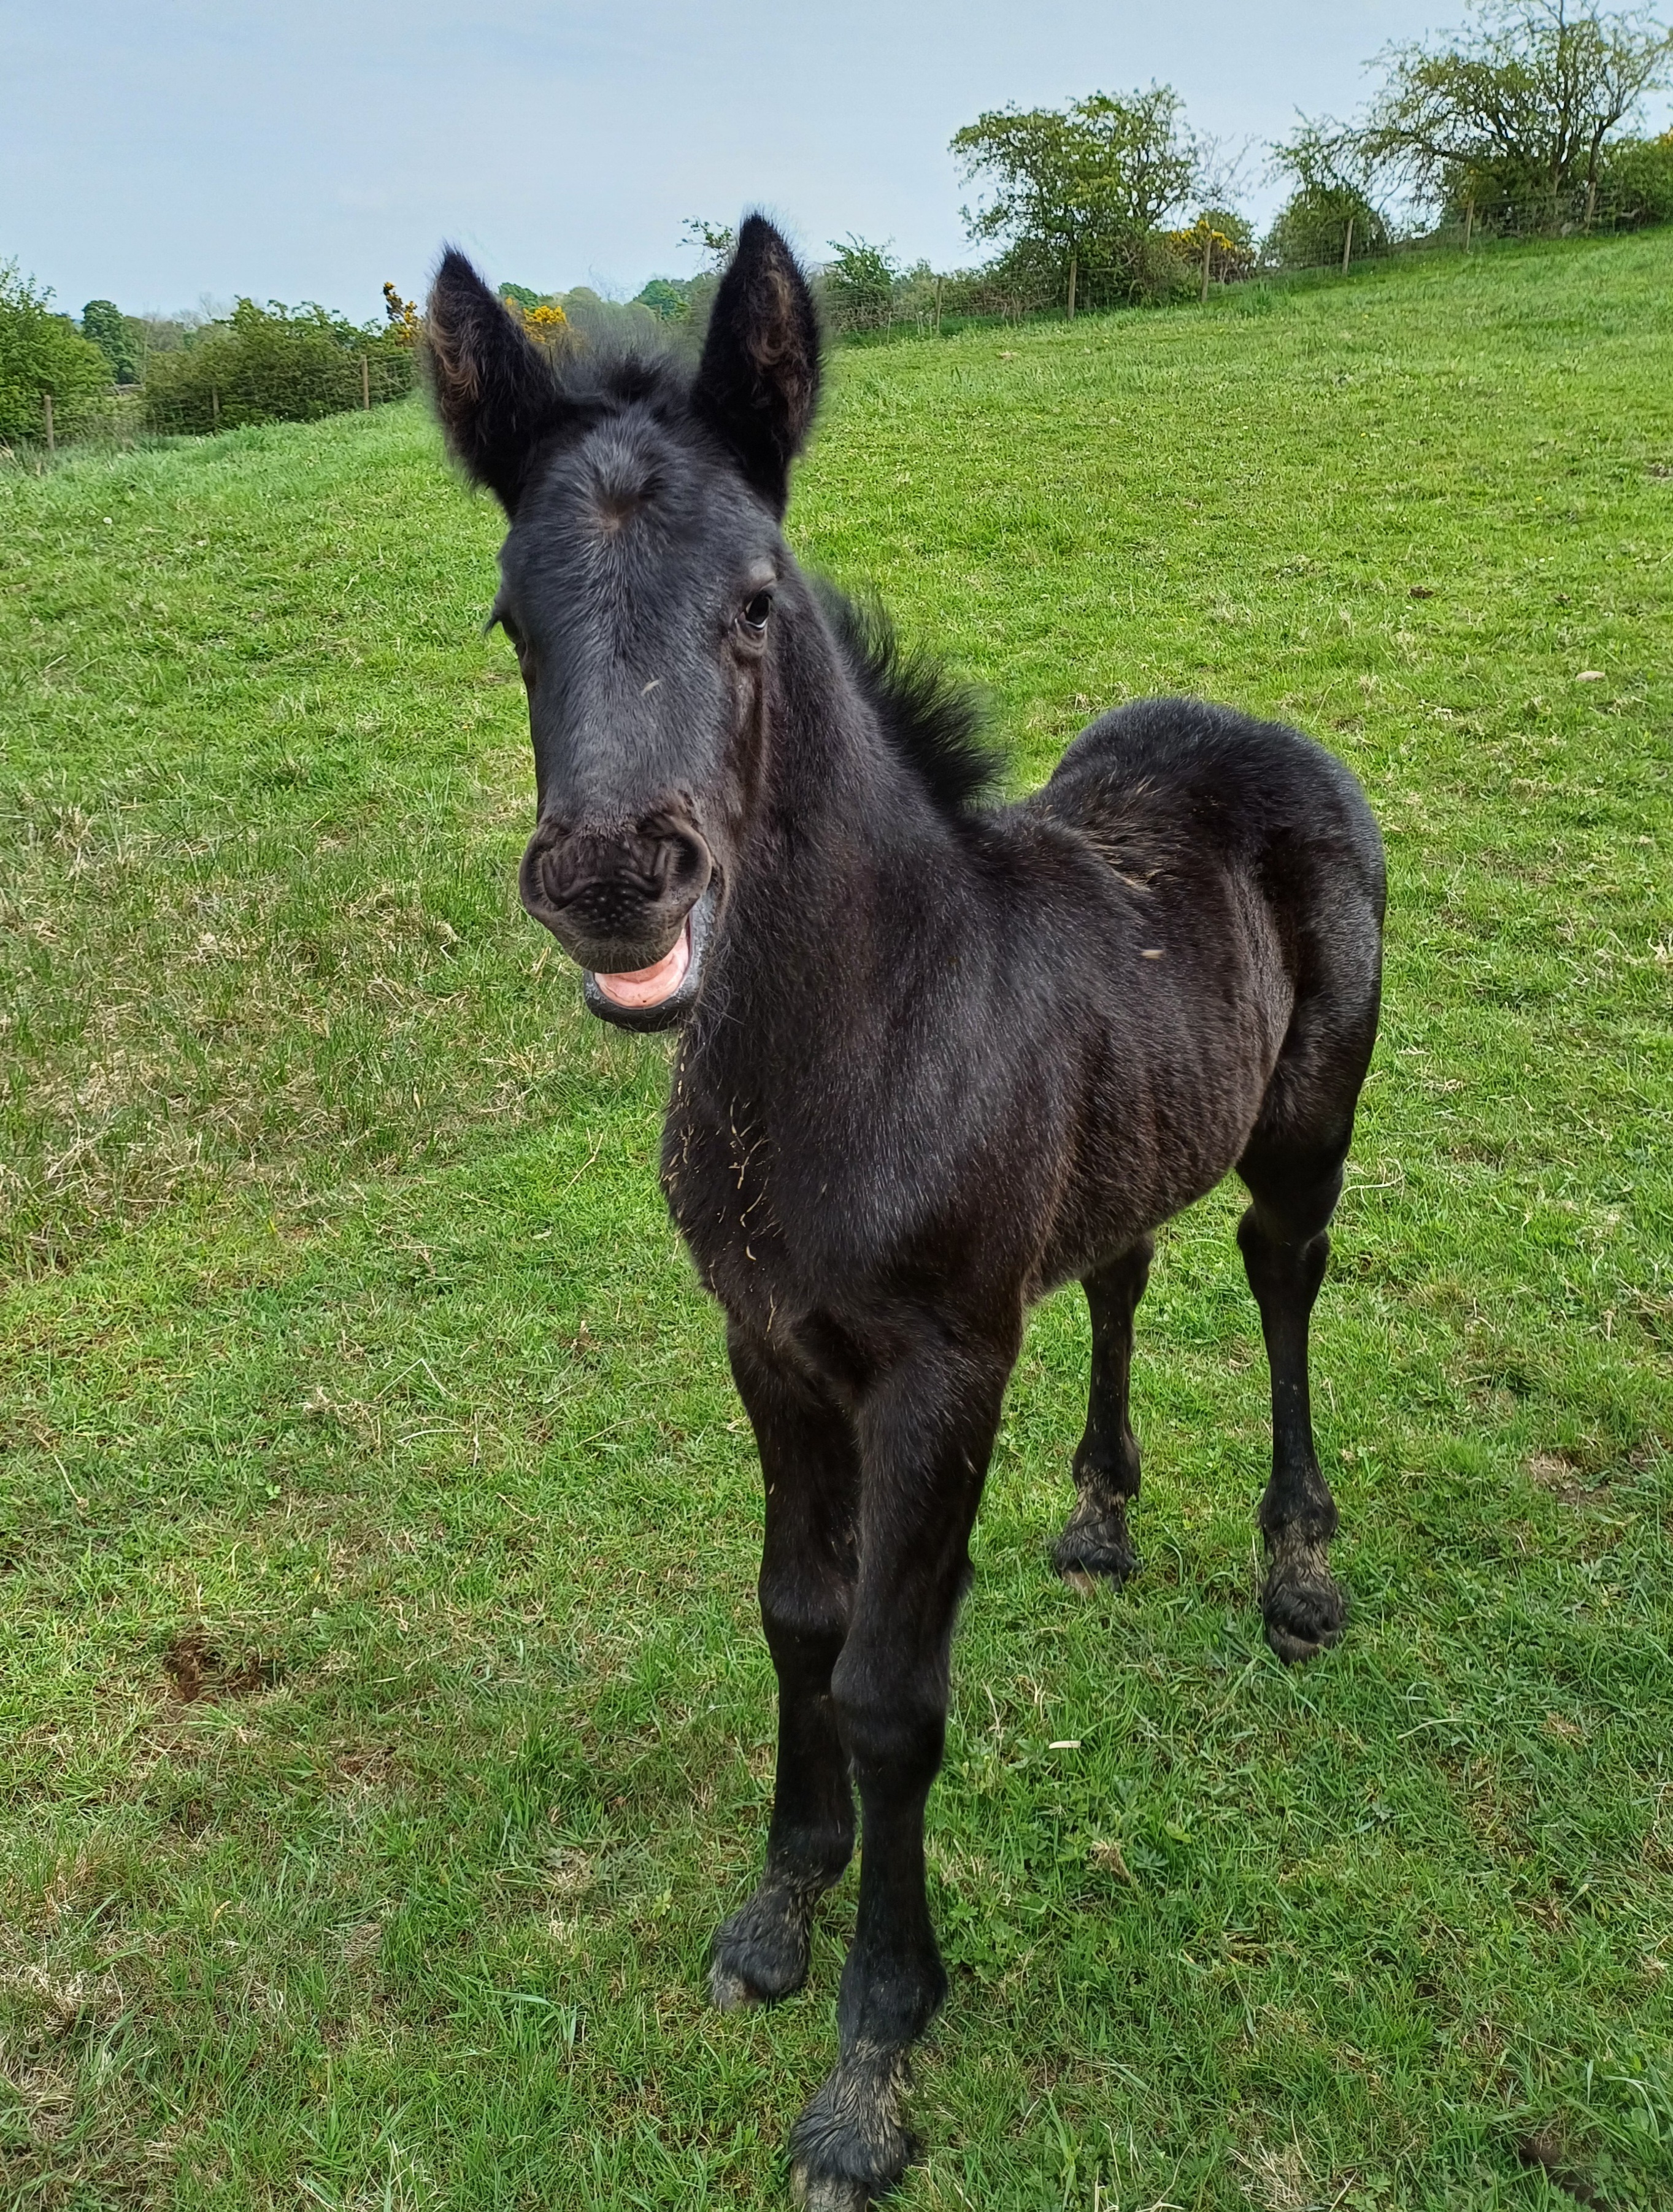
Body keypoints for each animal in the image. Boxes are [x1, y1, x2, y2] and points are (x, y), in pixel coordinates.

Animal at [431, 220, 1390, 2194]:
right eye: (509, 621)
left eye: (755, 604)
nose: (614, 879)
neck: (857, 1034)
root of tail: (1266, 729)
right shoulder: (765, 1344)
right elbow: (794, 1615)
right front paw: (774, 1908)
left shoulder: (938, 1369)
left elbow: (888, 1684)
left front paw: (874, 2052)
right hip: (1118, 1151)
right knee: (1121, 1270)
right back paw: (1099, 1515)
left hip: (1306, 1122)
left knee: (1280, 1276)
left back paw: (1294, 1566)